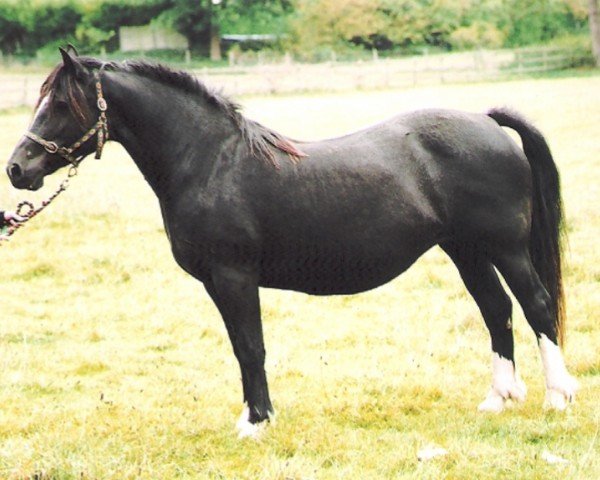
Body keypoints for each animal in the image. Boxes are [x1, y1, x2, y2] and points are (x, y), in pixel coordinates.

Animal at [4, 50, 576, 436]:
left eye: (61, 103)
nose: (17, 169)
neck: (211, 161)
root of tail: (485, 121)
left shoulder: (234, 277)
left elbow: (250, 346)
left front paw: (256, 421)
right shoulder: (218, 283)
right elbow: (241, 348)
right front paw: (253, 415)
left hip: (504, 248)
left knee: (535, 306)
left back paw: (557, 397)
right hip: (465, 251)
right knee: (497, 310)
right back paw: (499, 399)